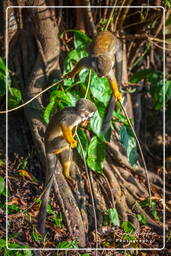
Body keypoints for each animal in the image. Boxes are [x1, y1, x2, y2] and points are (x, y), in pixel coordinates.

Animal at [37, 98, 96, 234]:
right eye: (91, 115)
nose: (90, 119)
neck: (78, 113)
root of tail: (47, 147)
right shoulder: (73, 117)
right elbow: (64, 125)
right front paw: (73, 140)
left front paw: (83, 125)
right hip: (54, 144)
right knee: (64, 142)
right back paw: (68, 143)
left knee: (66, 151)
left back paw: (66, 174)